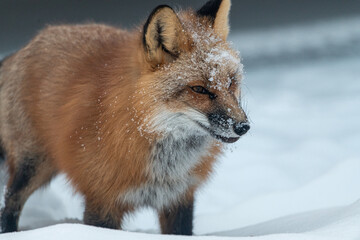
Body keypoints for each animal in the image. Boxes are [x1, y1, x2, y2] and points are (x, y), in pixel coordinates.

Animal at [0, 0, 248, 235]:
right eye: (199, 89)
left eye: (231, 83)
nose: (242, 126)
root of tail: (28, 44)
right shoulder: (102, 201)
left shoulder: (178, 198)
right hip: (32, 165)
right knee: (10, 201)